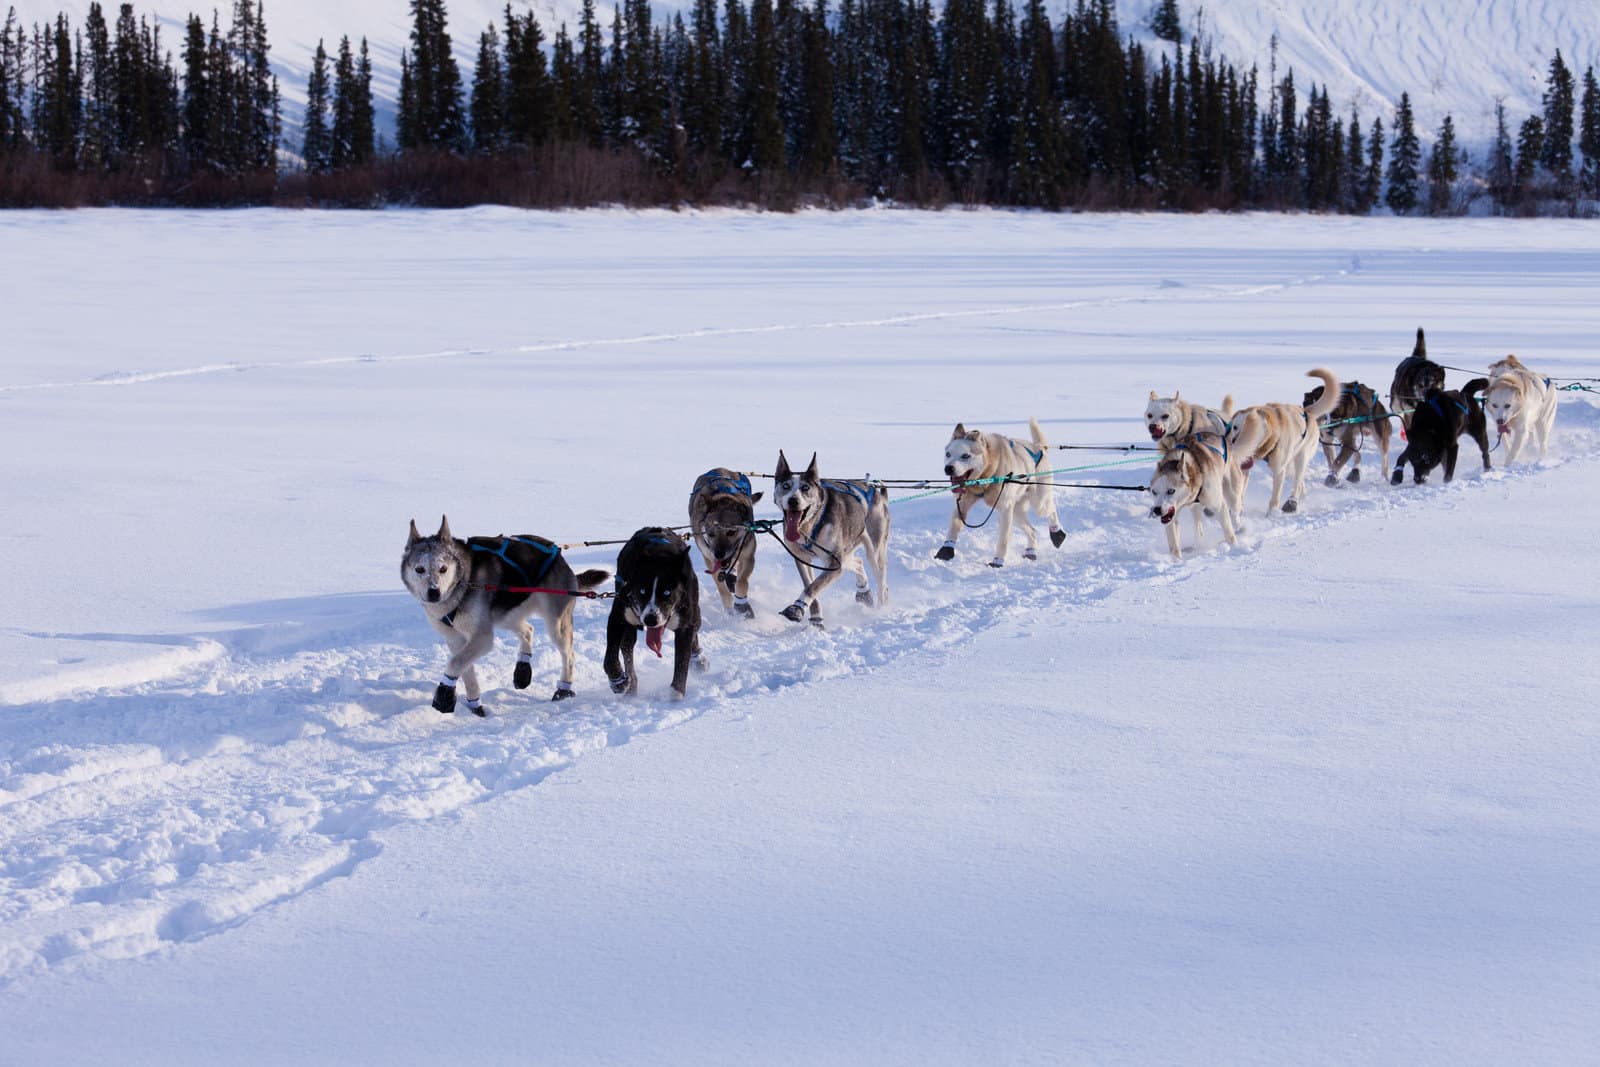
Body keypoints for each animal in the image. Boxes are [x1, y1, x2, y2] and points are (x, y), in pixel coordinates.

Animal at [601, 527, 704, 697]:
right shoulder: (617, 618)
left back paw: (699, 659)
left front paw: (676, 695)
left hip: (695, 613)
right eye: (642, 591)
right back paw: (631, 685)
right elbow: (610, 657)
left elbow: (682, 663)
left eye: (667, 592)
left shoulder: (684, 626)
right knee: (627, 648)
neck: (659, 555)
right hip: (629, 627)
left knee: (695, 629)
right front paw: (618, 681)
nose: (651, 619)